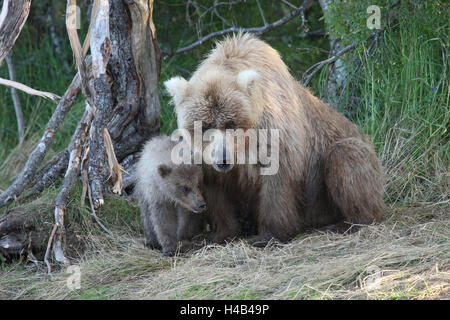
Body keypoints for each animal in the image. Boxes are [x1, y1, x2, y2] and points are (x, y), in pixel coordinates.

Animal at [164, 33, 384, 245]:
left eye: (230, 123)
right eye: (205, 126)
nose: (223, 159)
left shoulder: (274, 131)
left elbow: (277, 182)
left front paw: (268, 237)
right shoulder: (206, 160)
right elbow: (215, 192)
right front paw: (219, 235)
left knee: (345, 158)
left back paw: (346, 223)